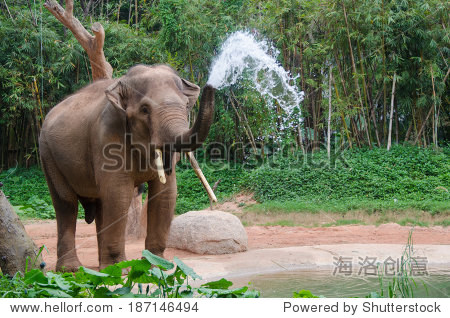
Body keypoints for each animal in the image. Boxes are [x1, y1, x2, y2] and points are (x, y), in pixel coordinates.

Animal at [38, 64, 214, 270]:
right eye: (145, 109)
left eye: (186, 106)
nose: (211, 85)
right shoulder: (108, 135)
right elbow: (118, 194)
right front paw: (119, 269)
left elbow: (165, 193)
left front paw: (157, 265)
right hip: (48, 154)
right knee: (66, 204)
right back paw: (73, 269)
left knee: (99, 204)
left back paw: (101, 268)